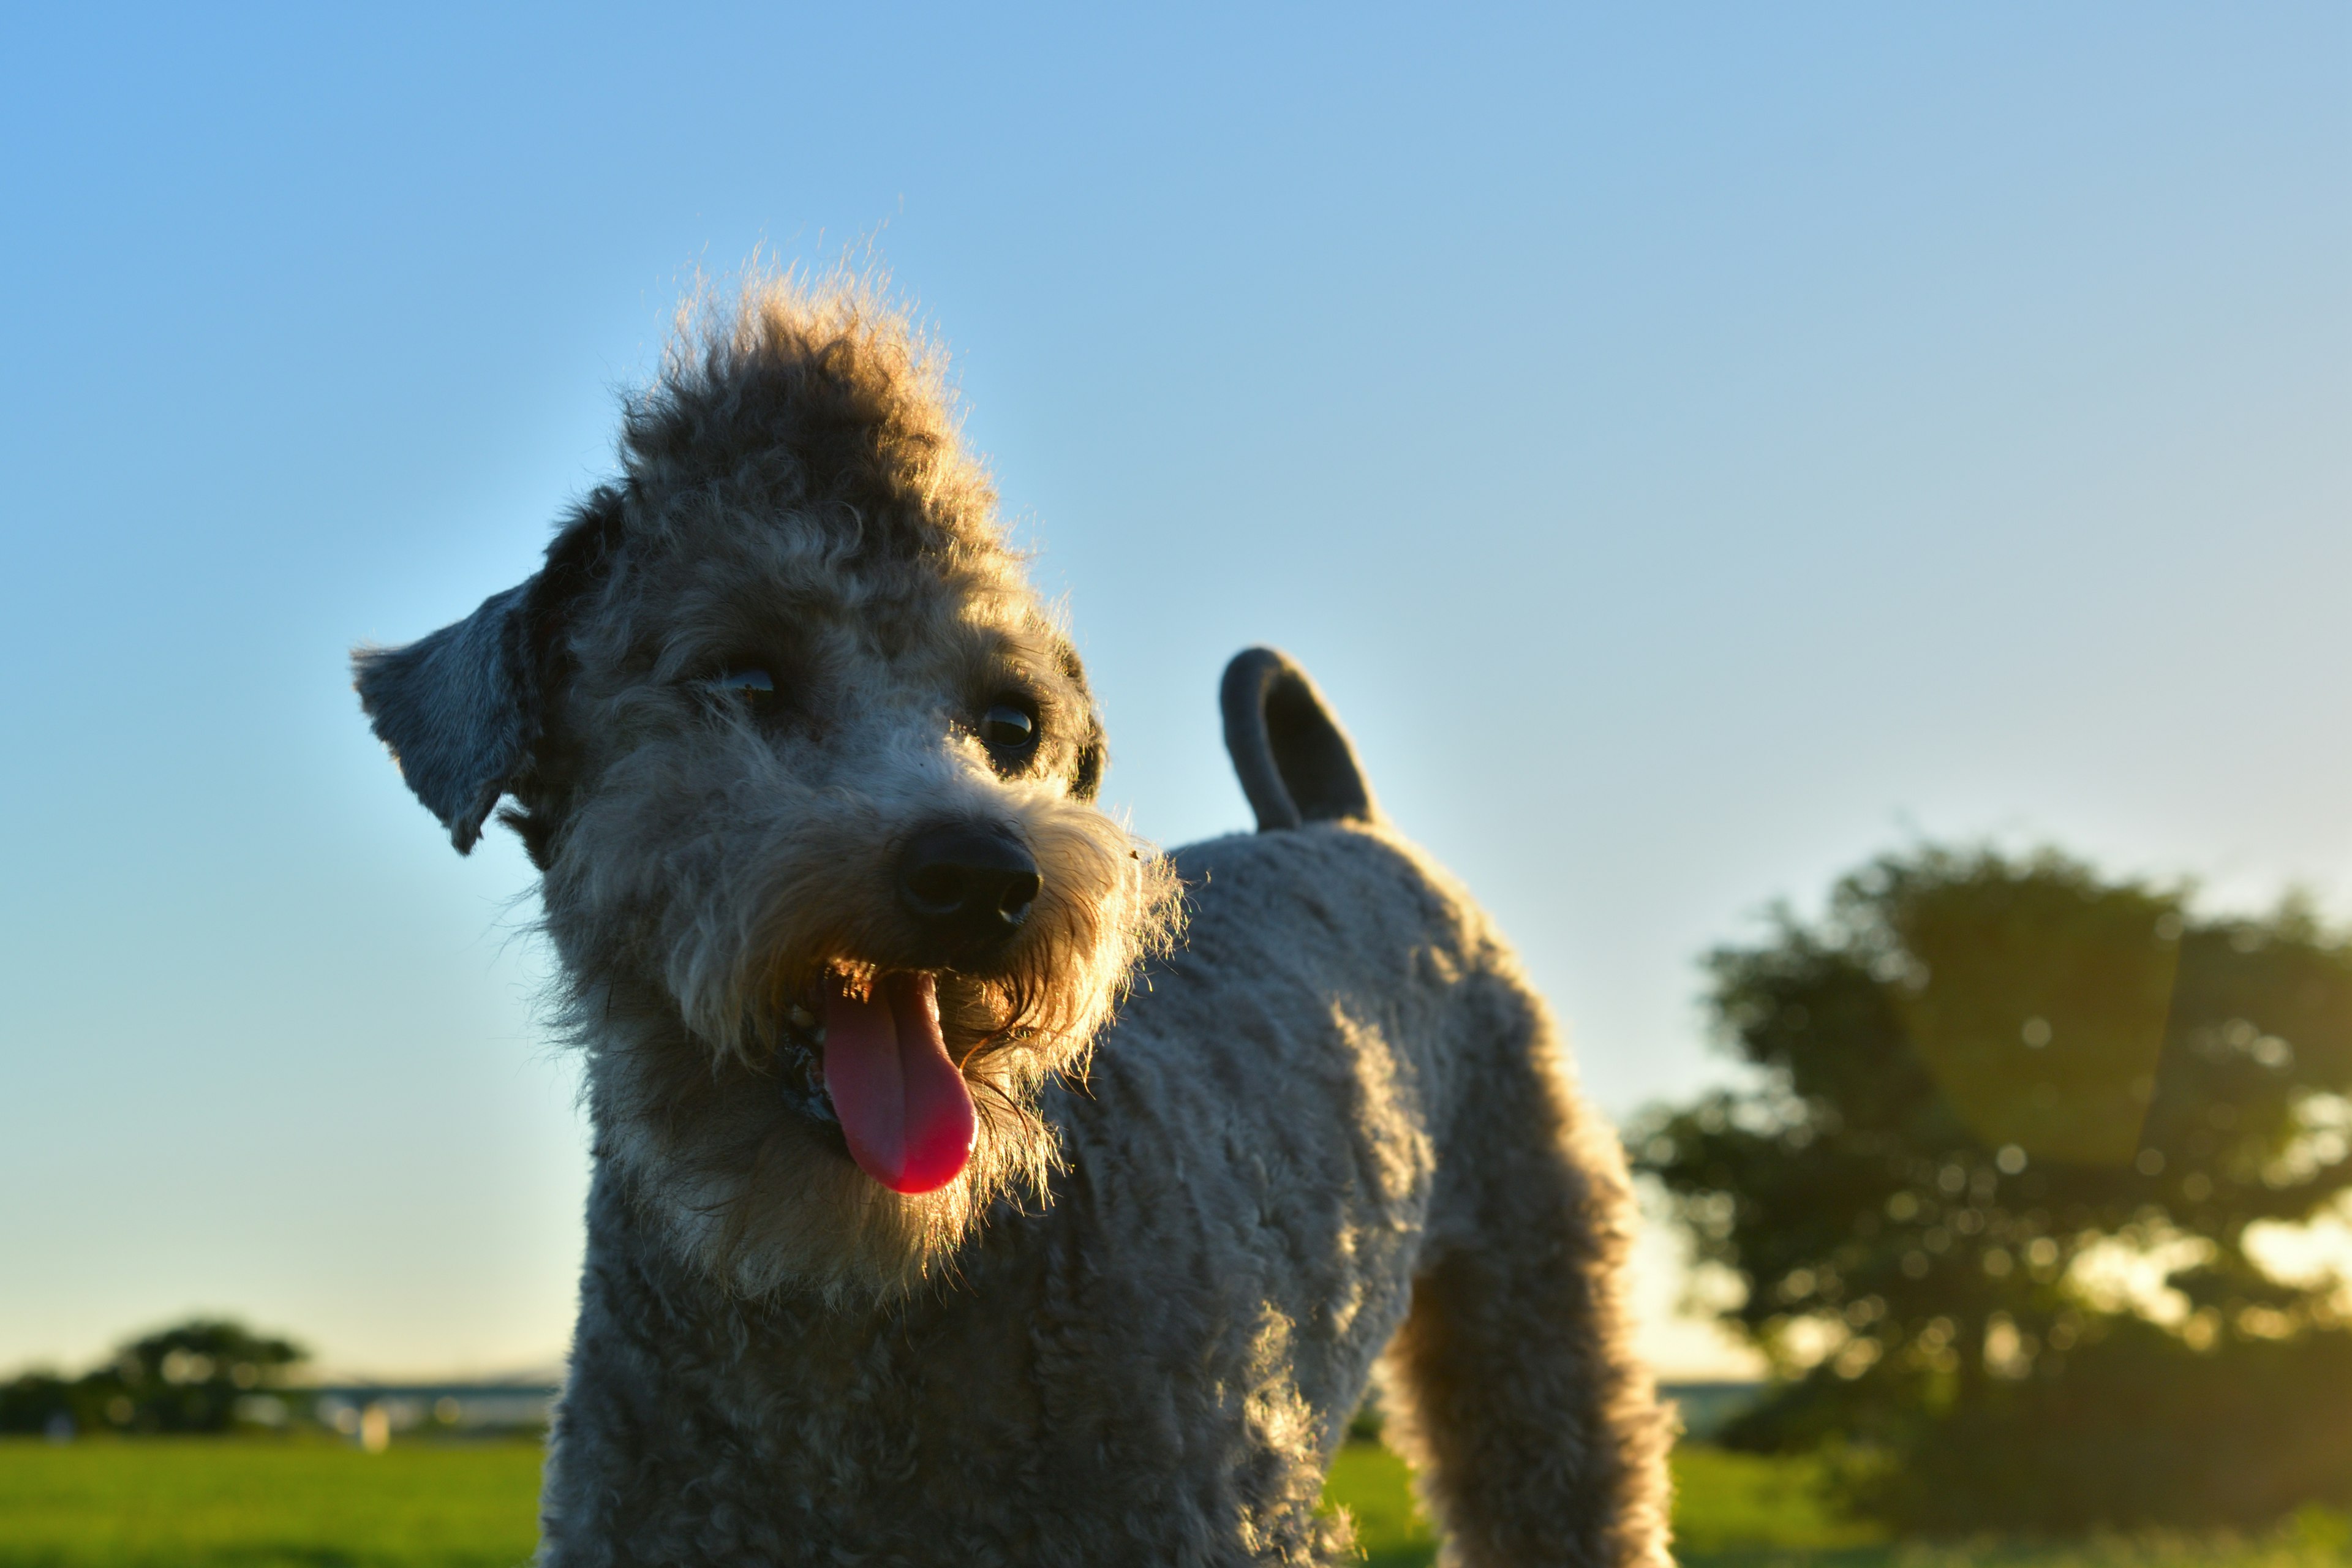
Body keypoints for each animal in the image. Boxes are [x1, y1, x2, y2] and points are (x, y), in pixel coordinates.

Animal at [353, 282, 1675, 1568]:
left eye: (1008, 721)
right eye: (744, 678)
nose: (982, 875)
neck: (857, 1322)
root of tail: (1344, 820)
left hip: (1541, 1332)